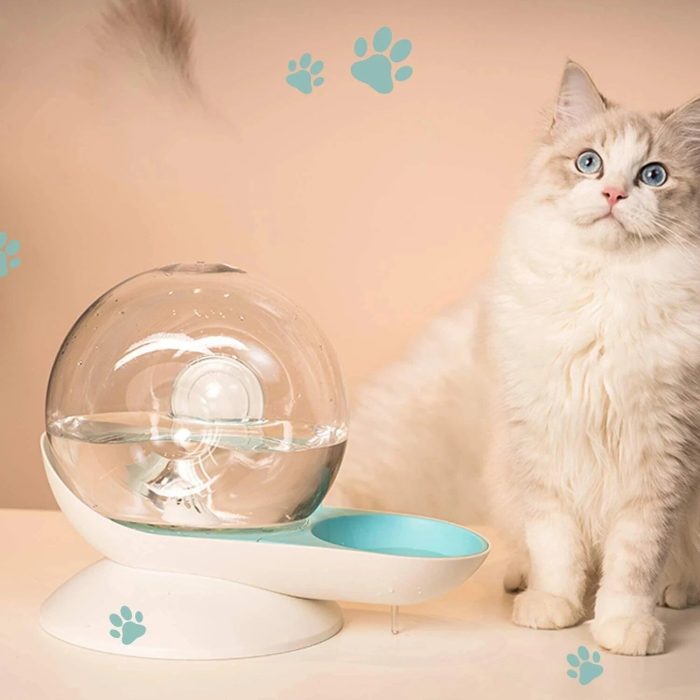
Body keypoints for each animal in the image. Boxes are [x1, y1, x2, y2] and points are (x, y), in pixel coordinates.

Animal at [332, 61, 700, 656]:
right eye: (589, 163)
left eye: (653, 175)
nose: (614, 193)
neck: (604, 291)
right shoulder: (542, 452)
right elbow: (556, 549)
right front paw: (553, 607)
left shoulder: (660, 459)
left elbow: (632, 564)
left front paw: (624, 629)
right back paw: (519, 580)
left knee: (678, 571)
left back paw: (677, 592)